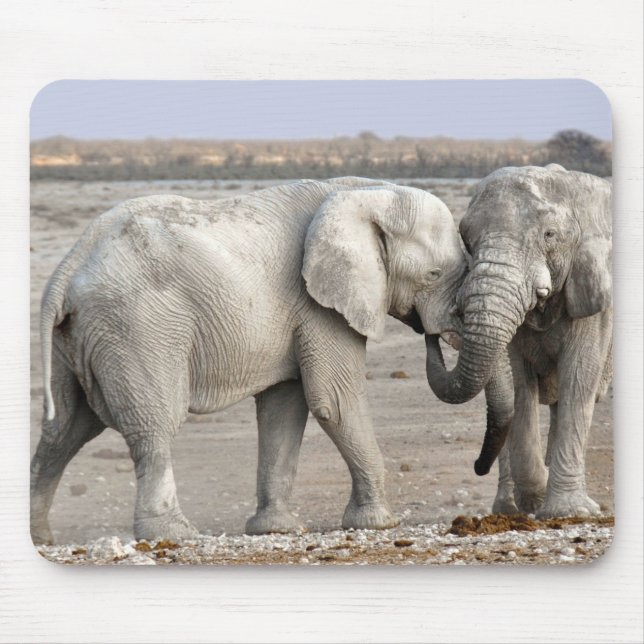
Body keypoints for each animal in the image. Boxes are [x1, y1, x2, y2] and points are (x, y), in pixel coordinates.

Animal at [31, 176, 490, 545]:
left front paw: (277, 529)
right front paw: (380, 523)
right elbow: (334, 401)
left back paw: (41, 538)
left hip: (80, 336)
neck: (366, 193)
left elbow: (284, 409)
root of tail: (68, 267)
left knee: (65, 429)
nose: (432, 334)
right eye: (432, 275)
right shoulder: (318, 304)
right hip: (138, 326)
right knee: (153, 424)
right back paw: (175, 534)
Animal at [425, 164, 612, 518]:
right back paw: (508, 509)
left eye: (550, 235)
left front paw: (567, 513)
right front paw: (537, 500)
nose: (476, 467)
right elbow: (518, 383)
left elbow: (580, 375)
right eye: (466, 237)